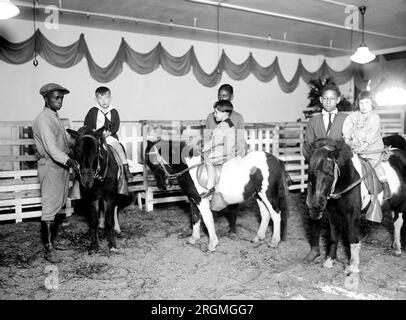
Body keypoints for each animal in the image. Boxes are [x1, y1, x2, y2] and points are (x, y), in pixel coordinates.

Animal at [67, 126, 121, 254]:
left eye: (97, 152)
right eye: (77, 151)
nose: (87, 180)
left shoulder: (109, 197)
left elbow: (109, 220)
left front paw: (112, 244)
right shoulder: (92, 197)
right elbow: (94, 221)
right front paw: (94, 245)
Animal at [146, 138, 288, 252]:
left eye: (154, 163)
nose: (162, 186)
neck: (191, 170)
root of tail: (275, 159)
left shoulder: (201, 200)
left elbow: (207, 220)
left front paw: (212, 245)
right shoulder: (193, 200)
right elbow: (195, 218)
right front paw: (193, 239)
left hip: (267, 194)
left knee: (276, 214)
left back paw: (274, 242)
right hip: (258, 195)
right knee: (266, 214)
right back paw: (258, 238)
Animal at [304, 139, 406, 288]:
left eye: (329, 173)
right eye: (310, 172)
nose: (317, 204)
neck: (347, 180)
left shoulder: (353, 216)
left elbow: (353, 239)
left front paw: (353, 268)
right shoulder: (333, 215)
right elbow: (333, 237)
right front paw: (329, 261)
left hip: (401, 205)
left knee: (398, 223)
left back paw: (397, 248)